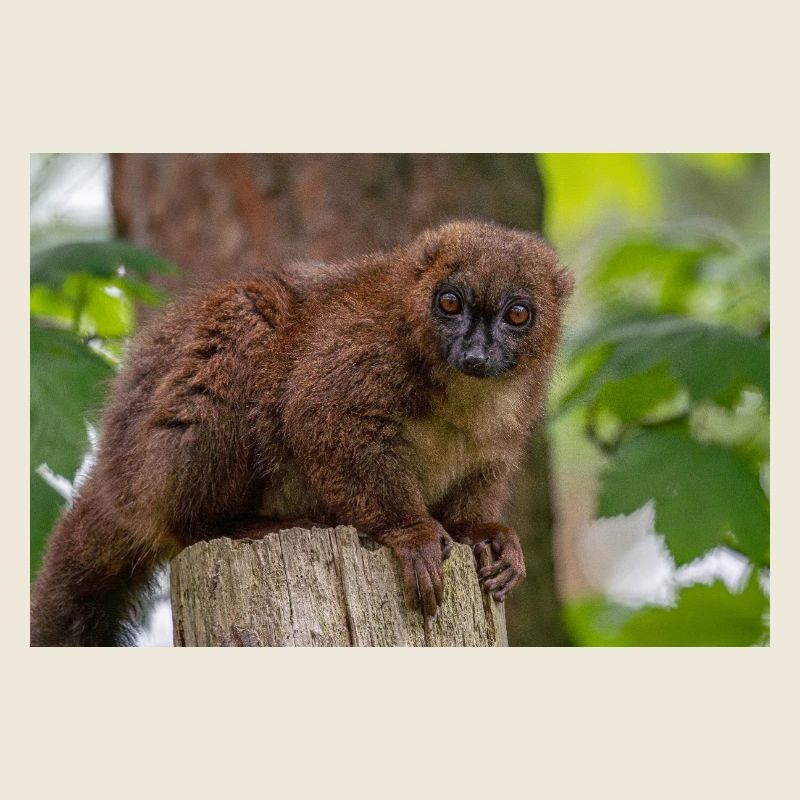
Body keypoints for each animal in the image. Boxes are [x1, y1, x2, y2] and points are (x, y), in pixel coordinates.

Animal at [30, 220, 573, 646]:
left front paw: (479, 533)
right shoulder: (365, 348)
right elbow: (315, 414)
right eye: (450, 303)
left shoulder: (514, 417)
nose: (476, 354)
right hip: (157, 461)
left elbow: (486, 465)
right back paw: (240, 526)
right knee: (247, 313)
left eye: (517, 315)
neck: (461, 390)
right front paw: (412, 532)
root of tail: (115, 471)